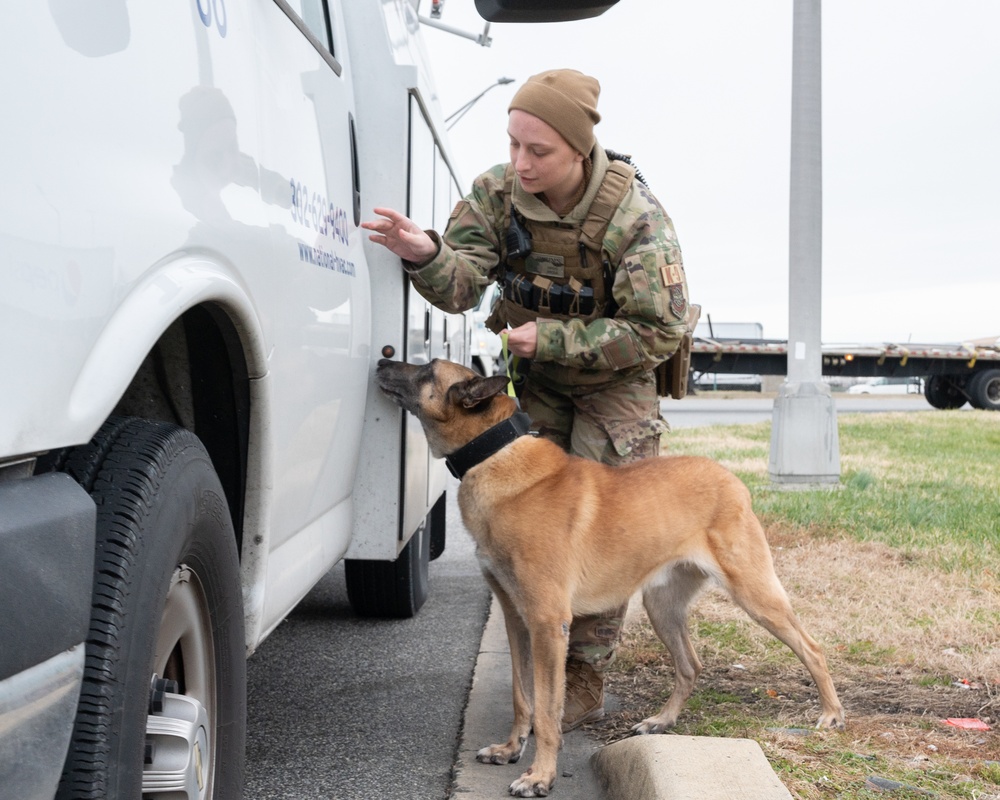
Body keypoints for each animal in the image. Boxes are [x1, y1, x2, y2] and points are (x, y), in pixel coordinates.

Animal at [376, 360, 844, 796]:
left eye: (426, 369)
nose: (381, 362)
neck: (496, 456)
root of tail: (732, 479)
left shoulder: (547, 623)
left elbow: (547, 711)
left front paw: (540, 776)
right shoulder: (516, 621)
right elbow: (522, 697)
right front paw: (511, 749)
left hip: (754, 594)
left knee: (812, 647)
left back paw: (831, 714)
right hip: (662, 607)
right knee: (690, 665)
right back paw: (661, 721)